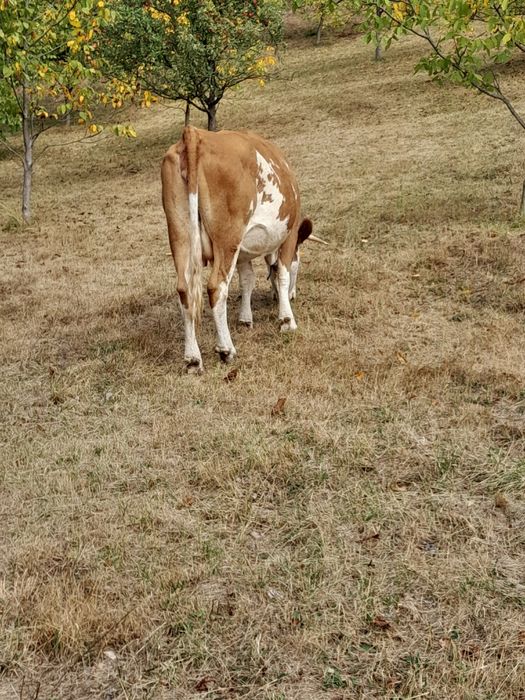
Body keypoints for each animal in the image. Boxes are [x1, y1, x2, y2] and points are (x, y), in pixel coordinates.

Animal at [161, 126, 313, 373]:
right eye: (299, 258)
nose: (293, 295)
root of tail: (195, 133)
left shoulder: (243, 253)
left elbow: (248, 280)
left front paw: (245, 318)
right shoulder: (288, 236)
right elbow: (282, 272)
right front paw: (286, 319)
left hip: (179, 235)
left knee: (185, 292)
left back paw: (193, 359)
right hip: (227, 238)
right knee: (216, 287)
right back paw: (226, 349)